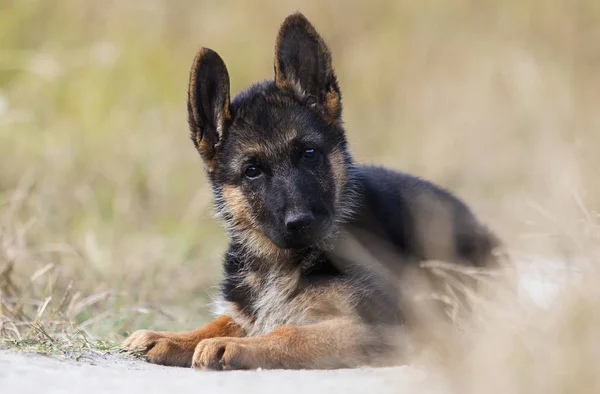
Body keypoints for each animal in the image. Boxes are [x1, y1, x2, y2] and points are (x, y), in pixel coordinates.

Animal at [123, 11, 502, 370]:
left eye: (308, 153)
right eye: (252, 171)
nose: (300, 222)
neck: (280, 260)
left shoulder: (385, 327)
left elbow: (289, 331)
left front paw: (232, 346)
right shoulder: (249, 307)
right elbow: (224, 320)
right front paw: (171, 336)